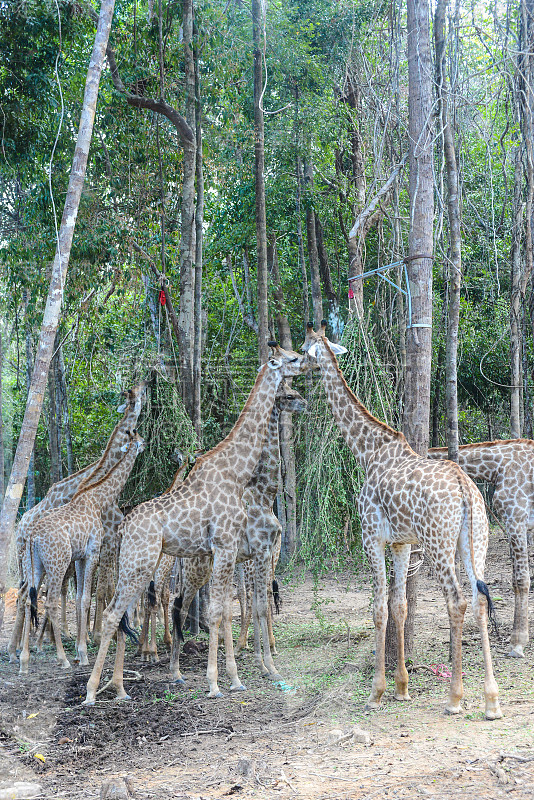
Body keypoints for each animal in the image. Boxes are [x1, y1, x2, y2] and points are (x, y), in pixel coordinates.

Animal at [8, 382, 147, 664]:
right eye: (134, 396)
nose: (145, 384)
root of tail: (23, 527)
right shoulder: (103, 546)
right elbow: (97, 592)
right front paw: (92, 640)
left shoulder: (95, 550)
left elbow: (90, 592)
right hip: (44, 560)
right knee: (36, 594)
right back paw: (33, 649)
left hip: (30, 561)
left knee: (26, 594)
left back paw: (20, 651)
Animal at [174, 378, 308, 680]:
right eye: (288, 395)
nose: (305, 403)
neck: (263, 495)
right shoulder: (258, 553)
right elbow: (256, 604)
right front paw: (267, 665)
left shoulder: (263, 554)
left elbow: (257, 602)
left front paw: (260, 659)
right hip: (198, 570)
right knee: (182, 605)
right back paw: (176, 669)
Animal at [304, 322, 504, 720]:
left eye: (303, 350)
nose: (296, 368)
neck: (368, 451)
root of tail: (465, 488)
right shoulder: (401, 543)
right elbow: (400, 605)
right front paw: (402, 688)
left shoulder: (371, 537)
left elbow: (379, 608)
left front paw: (376, 692)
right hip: (476, 539)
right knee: (478, 598)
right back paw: (491, 701)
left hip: (438, 542)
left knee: (457, 600)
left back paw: (455, 698)